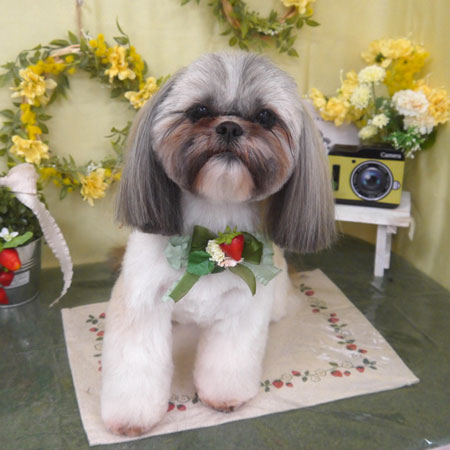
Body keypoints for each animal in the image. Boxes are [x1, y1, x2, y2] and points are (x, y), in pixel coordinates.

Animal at [101, 51, 336, 436]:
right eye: (199, 110)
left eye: (265, 117)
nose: (228, 127)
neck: (210, 231)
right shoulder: (141, 302)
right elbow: (136, 364)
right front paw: (131, 418)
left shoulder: (243, 308)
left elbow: (229, 360)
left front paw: (225, 398)